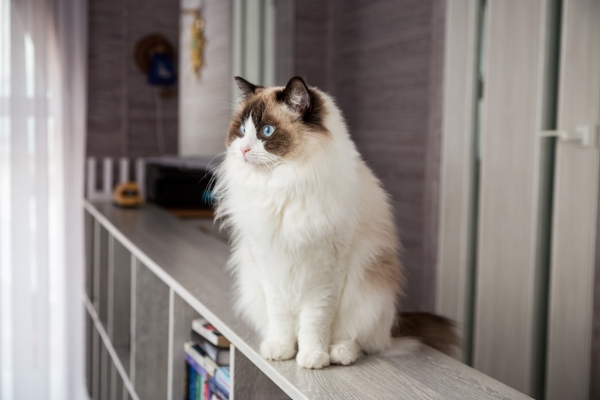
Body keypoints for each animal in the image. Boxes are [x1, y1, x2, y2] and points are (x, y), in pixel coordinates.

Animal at [216, 75, 460, 368]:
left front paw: (312, 358)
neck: (283, 185)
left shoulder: (325, 271)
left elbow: (315, 322)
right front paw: (281, 351)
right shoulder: (270, 265)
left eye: (266, 131)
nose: (242, 150)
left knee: (357, 340)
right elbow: (281, 318)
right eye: (242, 130)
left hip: (369, 293)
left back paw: (340, 354)